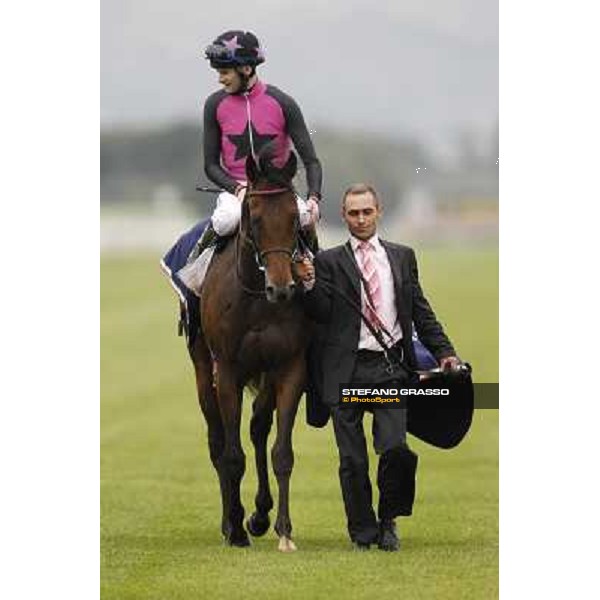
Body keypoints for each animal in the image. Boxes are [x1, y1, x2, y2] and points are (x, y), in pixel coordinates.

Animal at [189, 151, 312, 552]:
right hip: (202, 367)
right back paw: (231, 522)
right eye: (254, 218)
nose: (282, 288)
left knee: (258, 427)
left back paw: (259, 515)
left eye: (294, 219)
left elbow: (281, 452)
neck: (258, 298)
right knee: (217, 441)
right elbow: (232, 455)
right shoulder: (227, 368)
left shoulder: (290, 366)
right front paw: (237, 528)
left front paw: (283, 529)